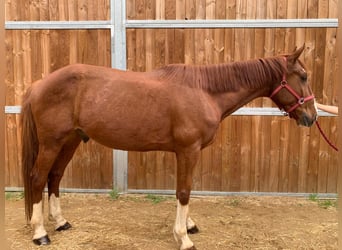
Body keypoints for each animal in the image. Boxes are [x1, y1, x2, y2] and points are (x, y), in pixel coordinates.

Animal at [20, 45, 316, 250]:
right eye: (302, 76)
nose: (311, 117)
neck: (205, 91)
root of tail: (38, 84)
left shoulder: (186, 153)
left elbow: (184, 189)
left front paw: (189, 226)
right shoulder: (188, 150)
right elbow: (184, 192)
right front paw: (183, 238)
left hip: (69, 141)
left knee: (54, 177)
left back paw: (61, 222)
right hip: (51, 143)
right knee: (37, 178)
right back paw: (40, 233)